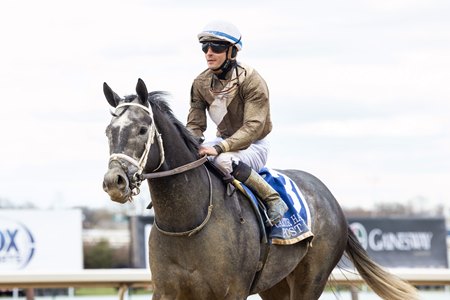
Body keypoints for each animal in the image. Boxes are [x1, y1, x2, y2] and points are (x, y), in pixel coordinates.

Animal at [102, 78, 418, 298]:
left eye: (142, 129)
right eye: (108, 131)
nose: (114, 182)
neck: (188, 223)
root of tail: (329, 197)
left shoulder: (231, 292)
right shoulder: (167, 290)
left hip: (311, 279)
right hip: (275, 285)